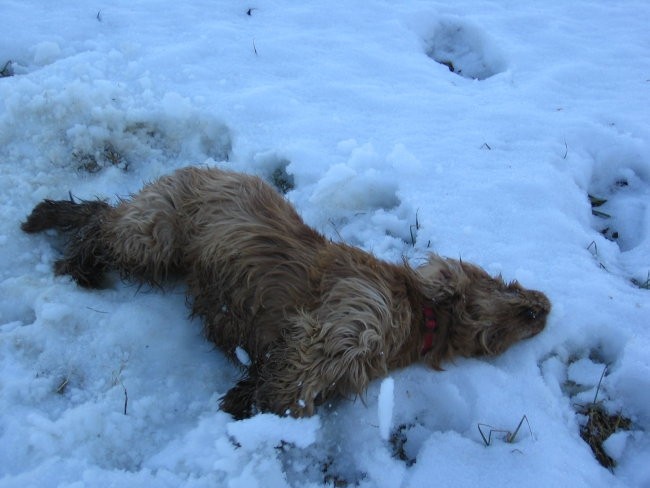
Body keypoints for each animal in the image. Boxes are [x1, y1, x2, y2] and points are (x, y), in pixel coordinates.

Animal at [21, 166, 548, 418]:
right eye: (512, 292)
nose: (546, 306)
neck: (418, 319)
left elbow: (285, 375)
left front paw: (244, 399)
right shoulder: (346, 322)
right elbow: (297, 379)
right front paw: (262, 408)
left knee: (99, 212)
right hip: (156, 234)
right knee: (100, 223)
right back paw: (68, 250)